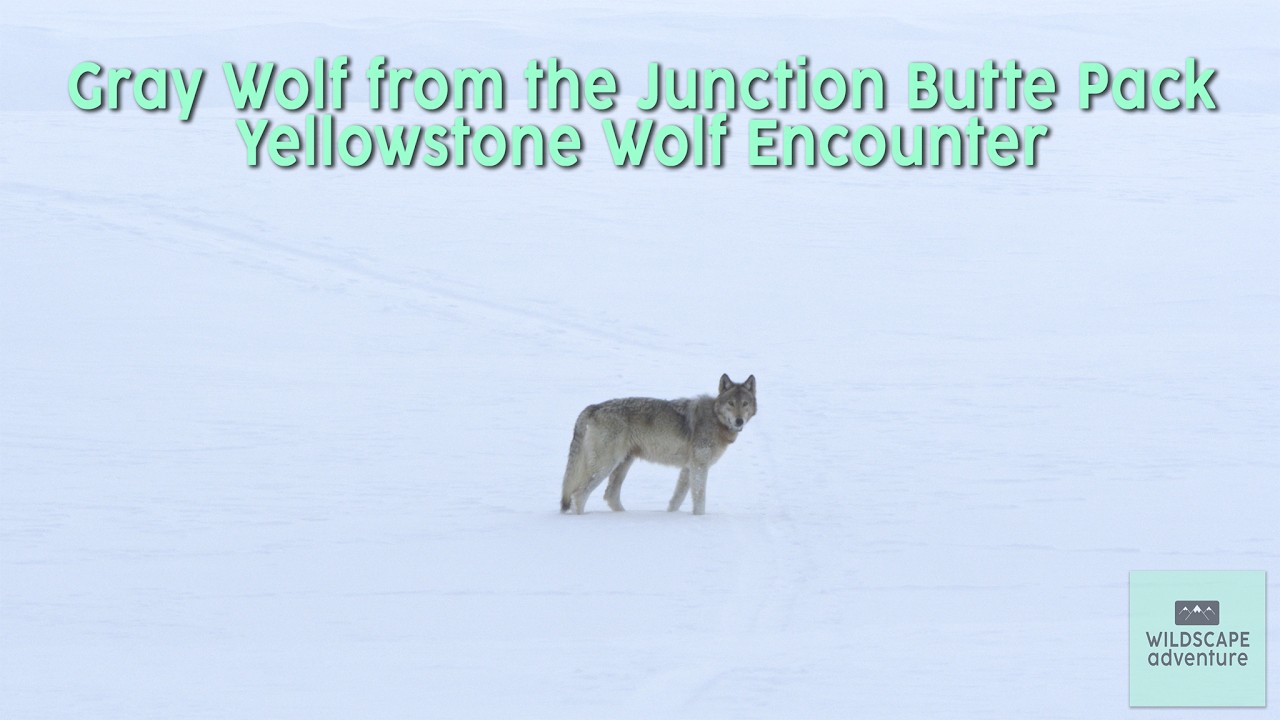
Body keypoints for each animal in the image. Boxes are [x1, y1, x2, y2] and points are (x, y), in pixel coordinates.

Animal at [560, 374, 757, 515]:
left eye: (745, 404)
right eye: (731, 403)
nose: (739, 421)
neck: (716, 420)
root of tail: (595, 406)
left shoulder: (688, 468)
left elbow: (677, 499)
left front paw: (670, 516)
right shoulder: (699, 466)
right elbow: (699, 499)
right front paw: (700, 519)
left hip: (623, 463)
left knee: (610, 495)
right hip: (606, 465)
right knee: (578, 495)